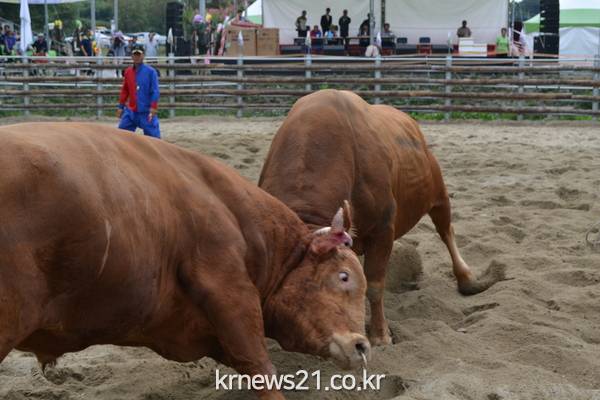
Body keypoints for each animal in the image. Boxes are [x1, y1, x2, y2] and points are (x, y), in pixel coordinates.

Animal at [259, 90, 507, 346]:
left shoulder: (383, 229)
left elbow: (374, 284)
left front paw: (380, 335)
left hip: (438, 194)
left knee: (446, 231)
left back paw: (467, 280)